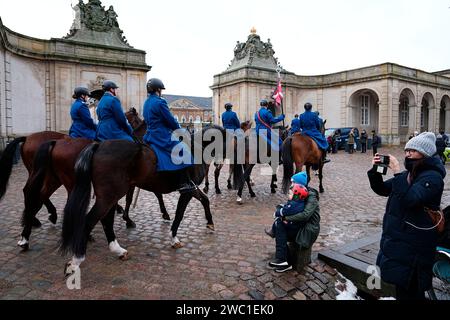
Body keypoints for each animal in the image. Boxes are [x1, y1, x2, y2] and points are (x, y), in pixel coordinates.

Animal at [60, 125, 227, 276]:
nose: (219, 165)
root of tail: (99, 145)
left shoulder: (192, 189)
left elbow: (205, 200)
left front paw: (210, 223)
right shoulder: (187, 190)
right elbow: (179, 214)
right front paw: (174, 238)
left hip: (110, 195)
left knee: (106, 220)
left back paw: (118, 250)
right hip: (110, 195)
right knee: (90, 221)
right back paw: (76, 260)